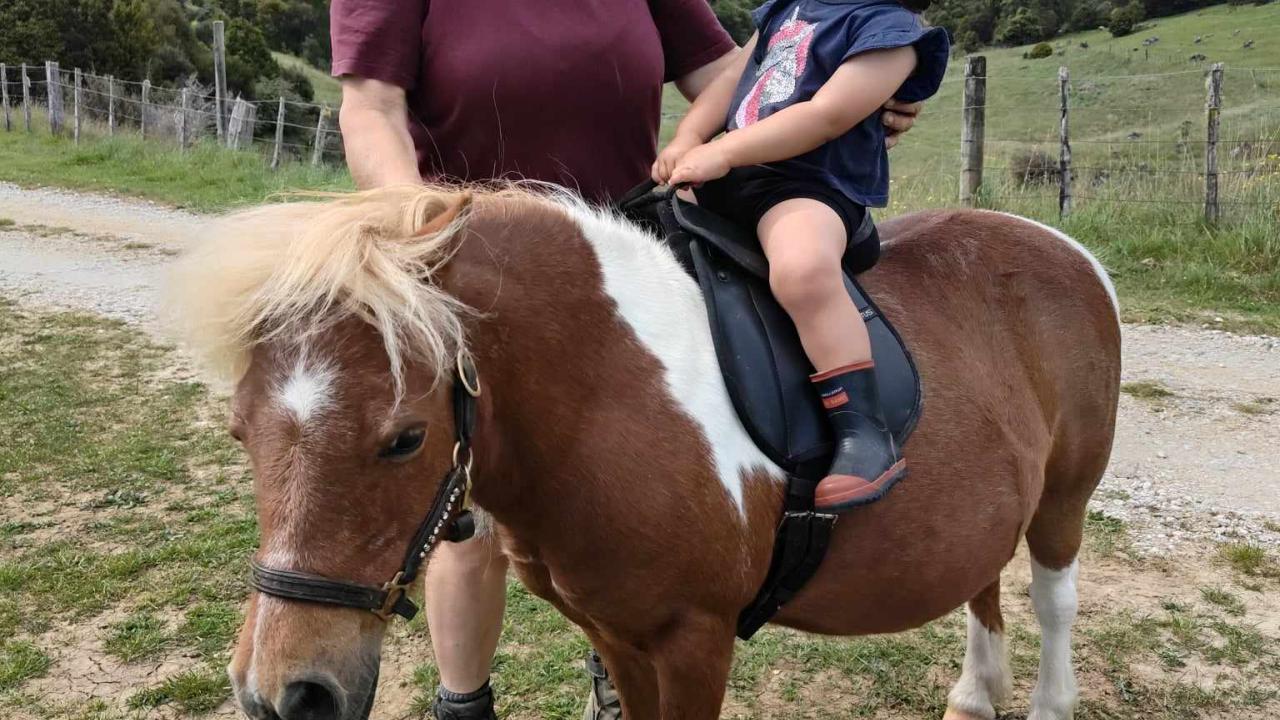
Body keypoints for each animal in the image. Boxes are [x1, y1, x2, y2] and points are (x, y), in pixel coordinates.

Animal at [167, 184, 1121, 720]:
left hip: (1063, 500)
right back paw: (974, 696)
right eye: (240, 431)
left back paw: (1049, 704)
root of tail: (1066, 250)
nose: (284, 694)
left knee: (1054, 601)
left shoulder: (697, 640)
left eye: (404, 438)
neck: (607, 393)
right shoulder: (617, 637)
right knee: (983, 583)